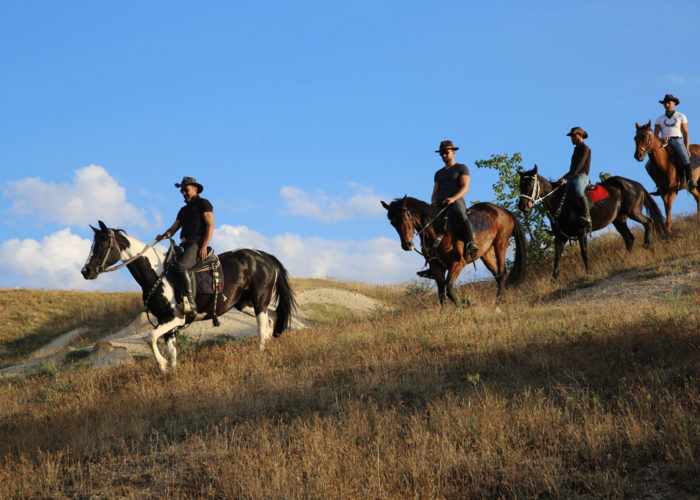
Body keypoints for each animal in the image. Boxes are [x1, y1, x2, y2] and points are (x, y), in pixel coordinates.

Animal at [82, 221, 296, 374]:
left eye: (101, 244)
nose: (86, 271)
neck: (158, 274)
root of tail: (266, 257)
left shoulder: (175, 318)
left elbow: (150, 337)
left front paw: (162, 365)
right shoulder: (165, 321)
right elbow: (172, 351)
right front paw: (172, 372)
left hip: (259, 300)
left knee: (262, 327)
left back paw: (260, 353)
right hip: (244, 304)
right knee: (272, 318)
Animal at [380, 196, 524, 304]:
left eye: (404, 218)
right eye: (392, 223)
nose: (407, 245)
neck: (439, 231)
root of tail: (503, 211)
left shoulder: (457, 264)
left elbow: (448, 288)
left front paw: (467, 303)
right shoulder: (436, 267)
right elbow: (441, 293)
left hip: (500, 244)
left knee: (502, 273)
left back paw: (499, 302)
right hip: (486, 253)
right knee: (497, 275)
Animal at [520, 165, 668, 280]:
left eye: (530, 184)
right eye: (520, 185)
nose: (522, 206)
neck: (561, 202)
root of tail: (636, 184)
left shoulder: (582, 232)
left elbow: (584, 253)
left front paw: (588, 273)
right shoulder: (560, 237)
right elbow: (557, 258)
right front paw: (553, 280)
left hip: (633, 212)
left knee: (648, 223)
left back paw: (646, 246)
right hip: (619, 220)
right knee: (629, 238)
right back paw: (624, 260)